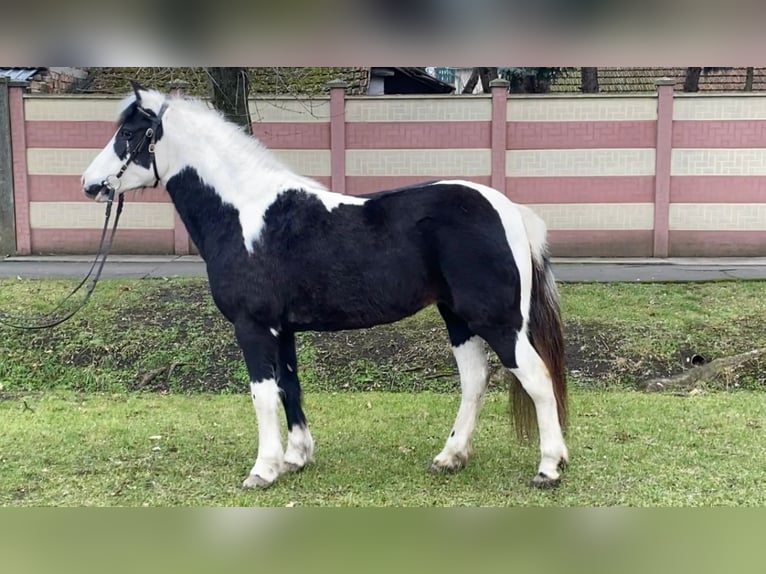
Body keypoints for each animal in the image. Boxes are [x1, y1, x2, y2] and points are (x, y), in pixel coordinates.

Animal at [82, 82, 568, 490]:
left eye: (129, 133)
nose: (90, 185)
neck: (245, 214)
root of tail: (509, 209)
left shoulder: (252, 326)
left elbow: (262, 394)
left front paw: (262, 470)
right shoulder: (282, 329)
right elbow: (288, 386)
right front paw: (295, 457)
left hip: (498, 321)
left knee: (537, 378)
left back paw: (548, 468)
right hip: (458, 318)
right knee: (474, 379)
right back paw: (451, 457)